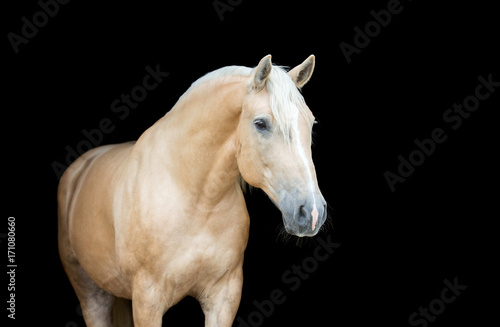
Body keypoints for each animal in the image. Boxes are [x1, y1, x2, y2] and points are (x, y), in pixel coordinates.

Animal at [58, 55, 328, 326]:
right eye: (261, 124)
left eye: (311, 122)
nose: (312, 212)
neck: (197, 200)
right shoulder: (147, 300)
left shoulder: (224, 296)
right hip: (90, 292)